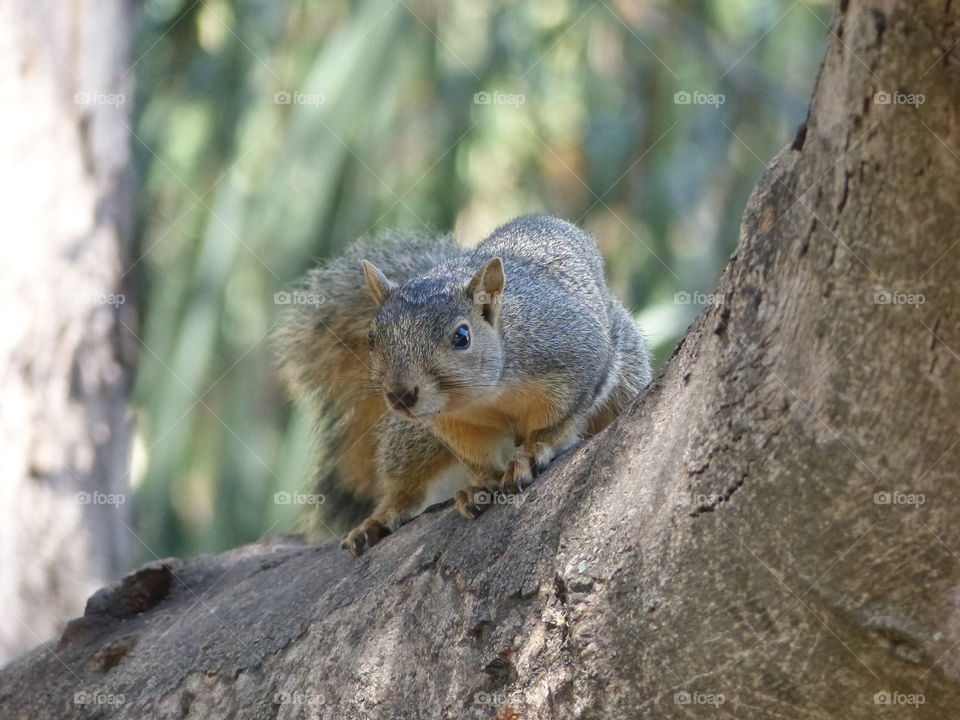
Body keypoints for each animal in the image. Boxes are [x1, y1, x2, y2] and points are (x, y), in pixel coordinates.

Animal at [278, 215, 652, 556]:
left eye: (462, 336)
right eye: (372, 338)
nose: (401, 395)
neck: (485, 395)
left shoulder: (575, 357)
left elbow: (557, 421)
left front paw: (531, 453)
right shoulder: (450, 423)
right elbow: (475, 457)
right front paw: (480, 485)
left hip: (627, 379)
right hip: (411, 435)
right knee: (405, 475)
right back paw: (381, 517)